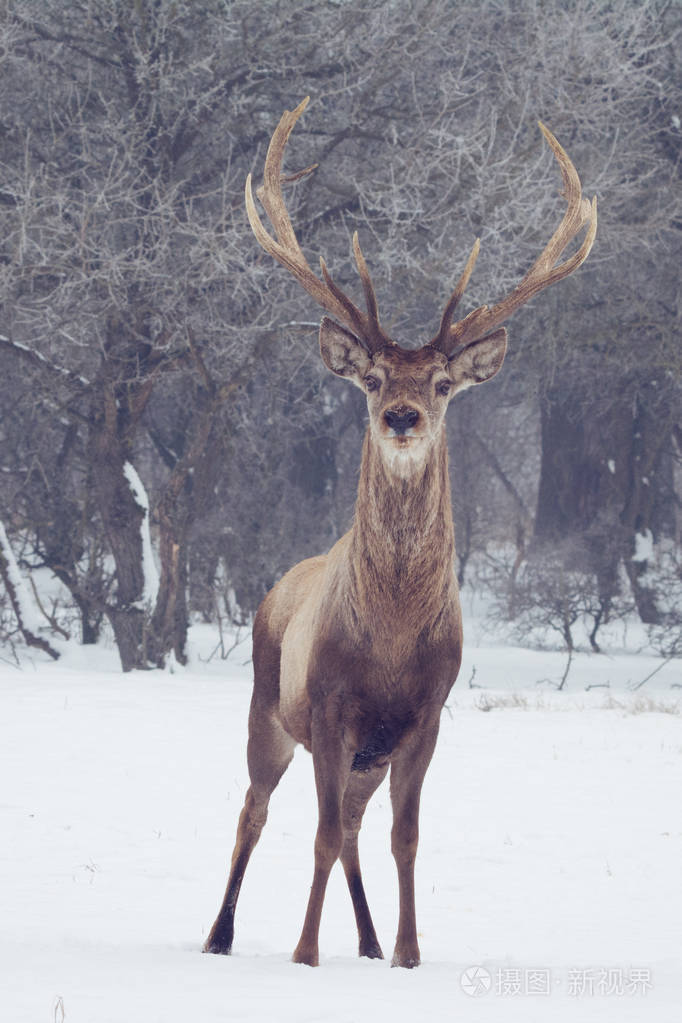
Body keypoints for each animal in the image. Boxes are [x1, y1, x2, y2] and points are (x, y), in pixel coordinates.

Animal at [204, 97, 597, 968]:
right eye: (375, 378)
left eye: (444, 382)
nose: (404, 415)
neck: (386, 640)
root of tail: (279, 583)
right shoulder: (328, 709)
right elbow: (314, 834)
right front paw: (303, 953)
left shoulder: (424, 715)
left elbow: (404, 838)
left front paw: (410, 954)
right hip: (265, 707)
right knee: (253, 811)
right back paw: (219, 935)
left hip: (365, 756)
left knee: (352, 826)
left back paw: (369, 938)